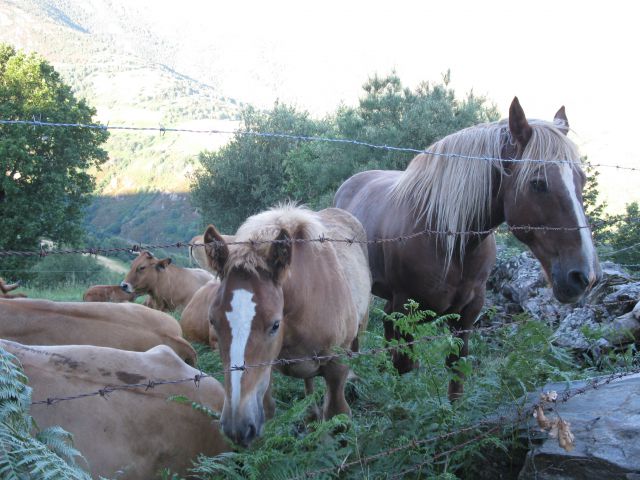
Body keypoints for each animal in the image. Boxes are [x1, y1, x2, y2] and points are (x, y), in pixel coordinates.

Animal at [200, 203, 370, 446]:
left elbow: (339, 416)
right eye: (213, 321)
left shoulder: (337, 366)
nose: (237, 428)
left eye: (274, 325)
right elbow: (269, 411)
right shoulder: (265, 373)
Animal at [336, 96, 600, 398]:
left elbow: (456, 371)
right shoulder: (407, 307)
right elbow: (404, 368)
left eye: (582, 180)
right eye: (537, 183)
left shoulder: (468, 313)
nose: (584, 276)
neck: (445, 237)